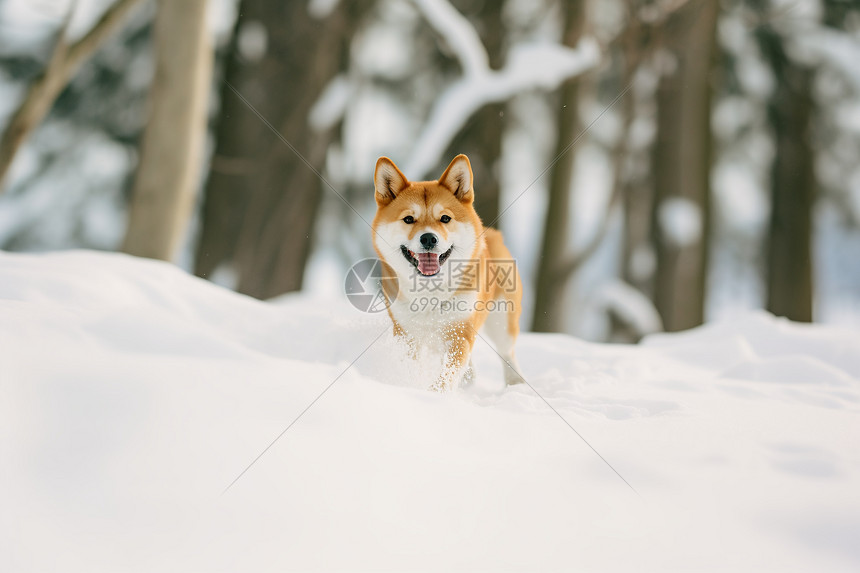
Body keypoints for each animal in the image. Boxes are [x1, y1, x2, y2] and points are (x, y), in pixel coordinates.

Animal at [374, 154, 528, 392]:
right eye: (408, 219)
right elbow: (413, 366)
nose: (429, 238)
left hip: (502, 321)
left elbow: (447, 374)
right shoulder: (406, 333)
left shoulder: (460, 332)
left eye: (445, 218)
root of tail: (493, 234)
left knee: (507, 352)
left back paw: (516, 384)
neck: (429, 293)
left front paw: (435, 394)